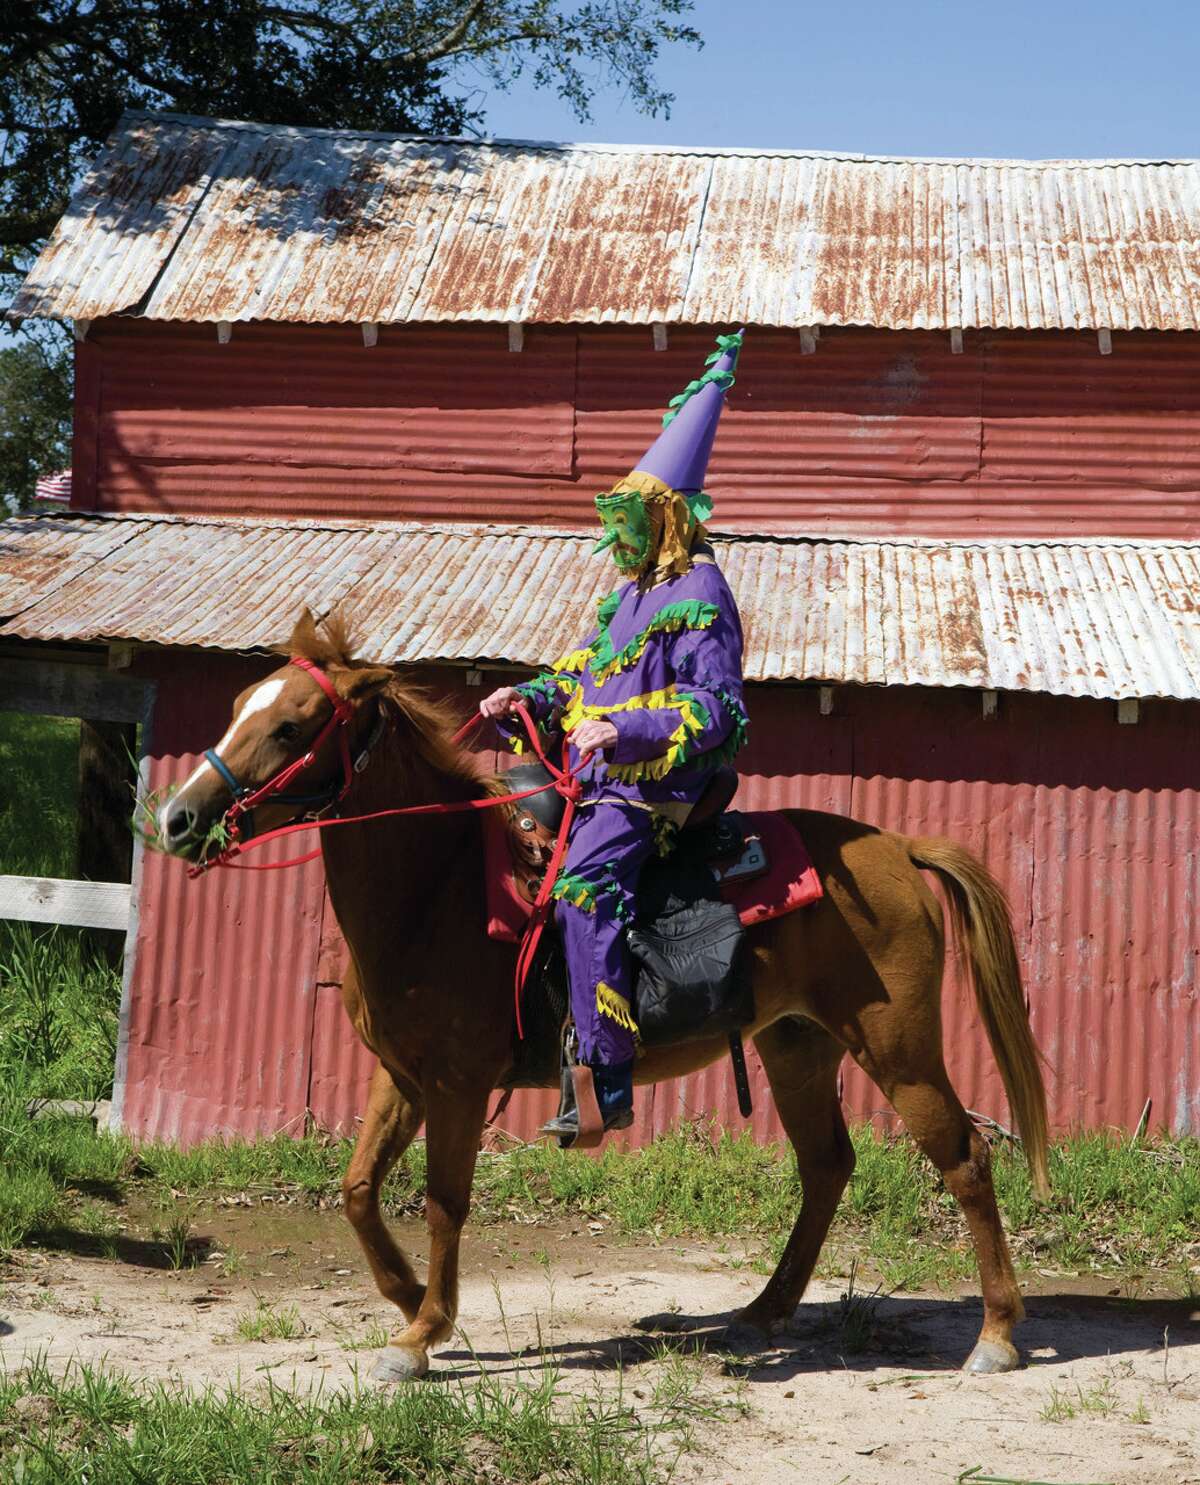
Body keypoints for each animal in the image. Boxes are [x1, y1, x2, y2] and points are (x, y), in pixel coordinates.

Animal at [159, 608, 1051, 1384]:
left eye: (293, 725)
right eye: (239, 707)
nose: (177, 817)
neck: (439, 884)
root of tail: (899, 845)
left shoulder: (456, 1084)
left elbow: (445, 1201)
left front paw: (421, 1333)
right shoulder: (402, 1076)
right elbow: (357, 1191)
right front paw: (414, 1301)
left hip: (899, 1049)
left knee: (966, 1158)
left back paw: (997, 1334)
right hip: (797, 1046)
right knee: (827, 1164)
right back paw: (764, 1310)